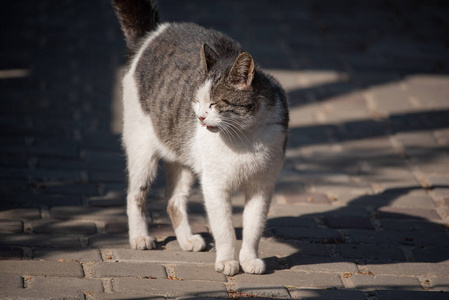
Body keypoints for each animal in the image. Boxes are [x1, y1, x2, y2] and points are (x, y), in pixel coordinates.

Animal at [111, 0, 288, 276]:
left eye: (214, 104)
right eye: (196, 101)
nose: (200, 117)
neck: (244, 137)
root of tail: (153, 33)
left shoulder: (262, 187)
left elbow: (253, 228)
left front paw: (249, 259)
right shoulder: (214, 185)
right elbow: (224, 229)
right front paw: (227, 260)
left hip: (183, 158)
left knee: (173, 201)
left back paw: (186, 240)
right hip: (142, 151)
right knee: (135, 194)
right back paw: (139, 237)